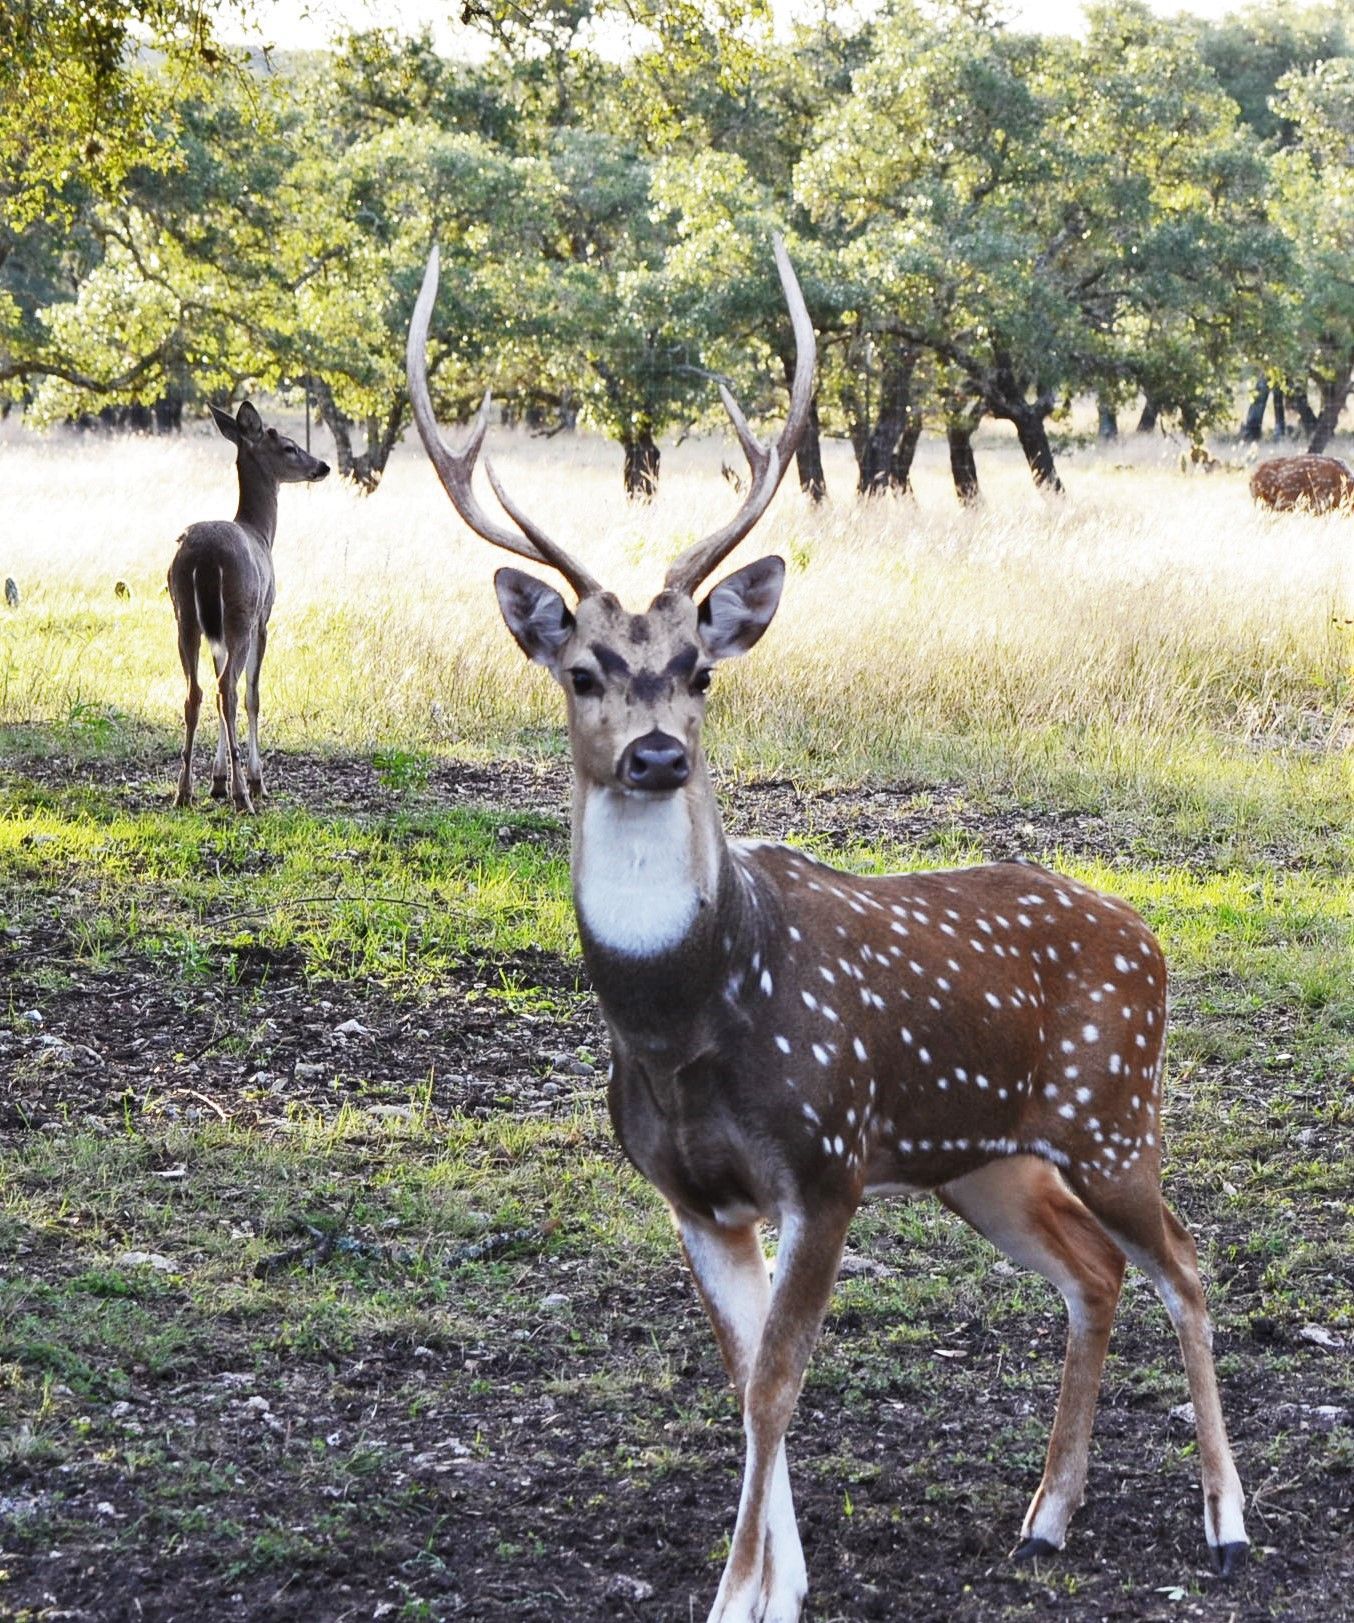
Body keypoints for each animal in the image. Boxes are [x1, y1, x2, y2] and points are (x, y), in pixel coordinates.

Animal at [167, 400, 329, 812]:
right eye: (289, 447)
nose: (322, 466)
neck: (261, 533)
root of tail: (204, 558)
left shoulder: (216, 634)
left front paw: (217, 781)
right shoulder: (263, 620)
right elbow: (254, 695)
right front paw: (254, 781)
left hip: (184, 616)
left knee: (197, 691)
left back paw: (184, 791)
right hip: (240, 612)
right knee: (229, 690)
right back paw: (244, 795)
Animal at [407, 238, 1249, 1622]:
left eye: (701, 667)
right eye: (582, 670)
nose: (655, 752)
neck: (682, 1018)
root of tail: (1148, 935)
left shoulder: (825, 1156)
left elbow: (778, 1378)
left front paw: (742, 1594)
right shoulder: (694, 1193)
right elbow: (745, 1375)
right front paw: (780, 1579)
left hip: (1113, 1110)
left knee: (1183, 1259)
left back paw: (1224, 1521)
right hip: (984, 1156)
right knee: (1095, 1270)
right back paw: (1046, 1516)